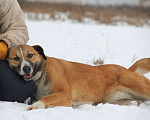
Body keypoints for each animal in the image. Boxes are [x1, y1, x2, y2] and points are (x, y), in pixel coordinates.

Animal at [6, 44, 150, 110]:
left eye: (30, 55)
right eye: (16, 58)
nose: (26, 68)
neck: (42, 74)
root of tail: (128, 69)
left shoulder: (64, 95)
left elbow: (46, 98)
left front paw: (36, 106)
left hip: (141, 87)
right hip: (113, 101)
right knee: (134, 101)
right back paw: (135, 103)